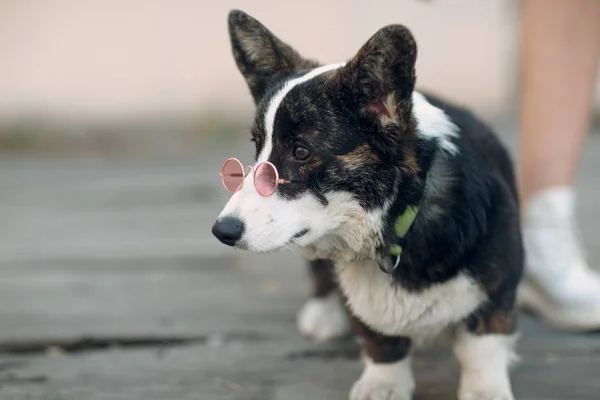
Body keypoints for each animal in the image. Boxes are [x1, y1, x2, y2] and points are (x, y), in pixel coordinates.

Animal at [213, 9, 524, 400]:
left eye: (301, 152)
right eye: (257, 148)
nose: (222, 231)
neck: (398, 216)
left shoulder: (499, 285)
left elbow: (480, 348)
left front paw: (485, 390)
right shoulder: (368, 308)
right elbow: (381, 341)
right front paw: (383, 384)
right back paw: (323, 312)